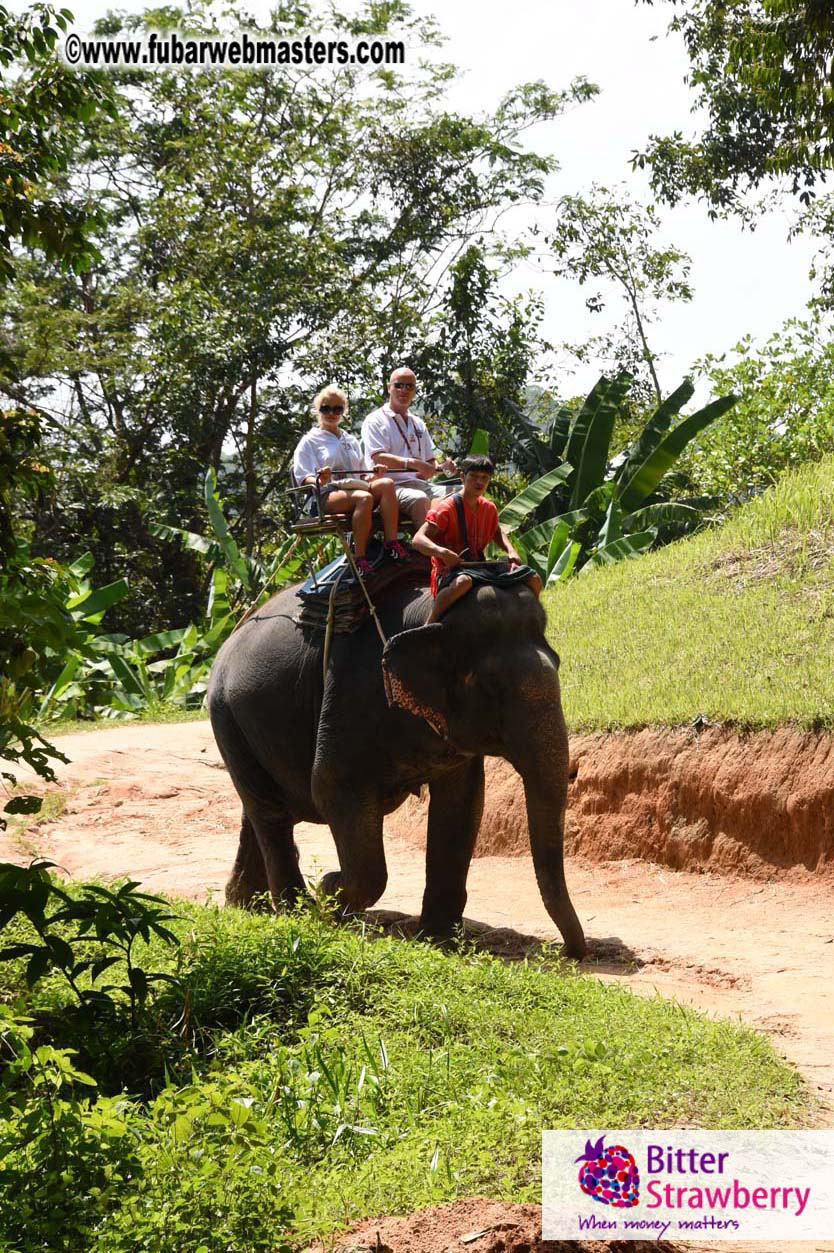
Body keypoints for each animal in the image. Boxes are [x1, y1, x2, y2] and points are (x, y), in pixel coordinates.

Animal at [207, 570, 586, 959]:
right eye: (492, 686)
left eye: (558, 663)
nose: (569, 953)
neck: (431, 614)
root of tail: (228, 639)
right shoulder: (349, 696)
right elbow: (331, 788)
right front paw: (328, 892)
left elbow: (462, 803)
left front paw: (438, 941)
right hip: (227, 718)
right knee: (271, 813)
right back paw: (294, 913)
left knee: (259, 811)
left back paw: (245, 905)